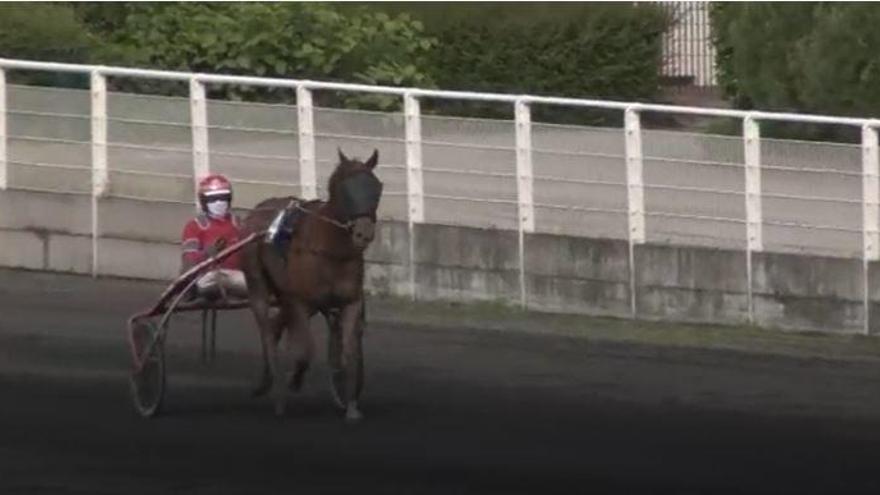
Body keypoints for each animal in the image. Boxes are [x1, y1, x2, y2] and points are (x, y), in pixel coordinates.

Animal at [241, 147, 382, 422]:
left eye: (376, 187)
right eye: (344, 189)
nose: (363, 233)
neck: (330, 250)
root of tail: (257, 210)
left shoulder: (350, 302)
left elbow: (347, 352)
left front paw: (350, 405)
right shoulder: (298, 301)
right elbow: (305, 351)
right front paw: (293, 380)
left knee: (275, 327)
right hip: (259, 286)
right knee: (267, 331)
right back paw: (276, 390)